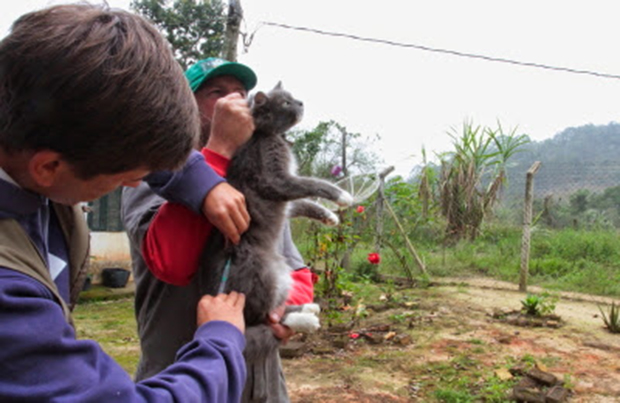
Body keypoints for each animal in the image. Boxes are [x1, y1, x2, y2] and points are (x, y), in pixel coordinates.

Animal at [200, 82, 354, 362]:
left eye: (293, 98)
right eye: (285, 103)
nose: (301, 102)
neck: (266, 135)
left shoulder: (286, 196)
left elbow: (302, 203)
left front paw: (330, 216)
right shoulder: (275, 179)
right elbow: (310, 184)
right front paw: (342, 196)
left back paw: (309, 308)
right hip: (266, 276)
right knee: (264, 318)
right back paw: (306, 320)